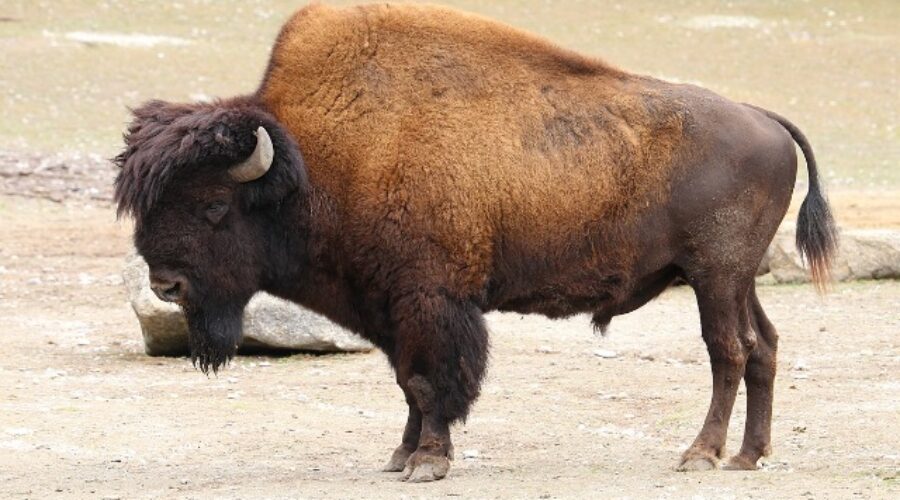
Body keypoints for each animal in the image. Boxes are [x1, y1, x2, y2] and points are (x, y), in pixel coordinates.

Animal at [114, 2, 836, 480]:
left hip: (714, 275)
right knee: (764, 346)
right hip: (736, 278)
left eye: (213, 205)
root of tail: (764, 118)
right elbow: (408, 382)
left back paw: (701, 454)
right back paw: (747, 456)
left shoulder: (431, 301)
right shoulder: (388, 307)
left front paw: (428, 463)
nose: (165, 284)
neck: (315, 163)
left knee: (729, 351)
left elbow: (434, 380)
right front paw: (400, 457)